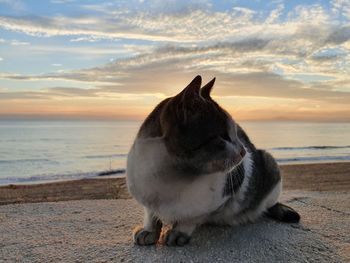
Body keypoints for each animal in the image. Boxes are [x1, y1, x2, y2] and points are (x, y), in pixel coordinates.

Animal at [127, 76, 300, 248]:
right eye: (223, 136)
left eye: (236, 133)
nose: (243, 151)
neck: (171, 177)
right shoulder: (146, 198)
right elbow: (151, 214)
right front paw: (149, 230)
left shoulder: (222, 196)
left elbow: (191, 218)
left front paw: (179, 232)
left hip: (269, 163)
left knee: (268, 204)